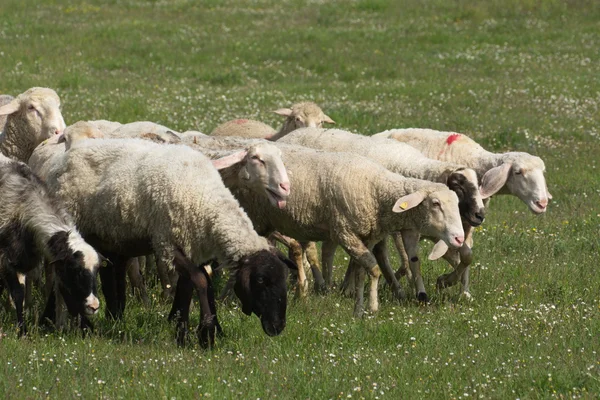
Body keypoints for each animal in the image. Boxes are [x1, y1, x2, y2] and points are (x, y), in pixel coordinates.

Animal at [0, 153, 103, 334]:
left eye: (97, 271)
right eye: (74, 270)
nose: (94, 307)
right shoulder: (5, 258)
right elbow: (18, 294)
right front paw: (22, 331)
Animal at [28, 133, 296, 346]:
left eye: (283, 280)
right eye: (261, 280)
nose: (278, 327)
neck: (206, 198)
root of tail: (63, 157)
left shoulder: (191, 246)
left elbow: (195, 284)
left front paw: (184, 330)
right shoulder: (166, 243)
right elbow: (200, 280)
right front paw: (205, 334)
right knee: (59, 275)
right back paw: (63, 322)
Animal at [183, 136, 464, 318]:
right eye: (436, 204)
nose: (460, 238)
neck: (377, 190)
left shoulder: (365, 236)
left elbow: (361, 271)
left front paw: (359, 308)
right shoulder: (344, 231)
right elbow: (373, 269)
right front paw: (373, 307)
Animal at [378, 128, 552, 296]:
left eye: (543, 172)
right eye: (518, 172)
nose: (542, 203)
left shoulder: (466, 226)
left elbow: (467, 256)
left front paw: (459, 289)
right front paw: (446, 281)